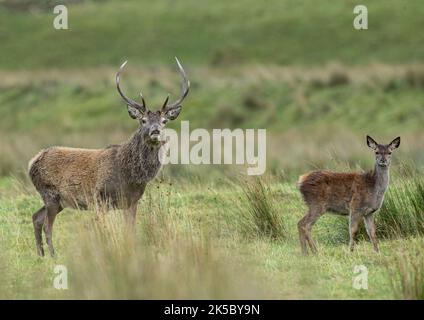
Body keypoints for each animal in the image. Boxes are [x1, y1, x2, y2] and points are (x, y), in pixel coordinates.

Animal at [28, 58, 190, 258]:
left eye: (164, 121)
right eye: (142, 120)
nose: (155, 131)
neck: (130, 176)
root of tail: (32, 162)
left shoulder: (132, 202)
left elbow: (130, 231)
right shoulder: (100, 198)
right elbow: (102, 231)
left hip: (59, 201)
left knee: (36, 217)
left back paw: (40, 254)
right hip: (50, 193)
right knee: (47, 225)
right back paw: (52, 255)